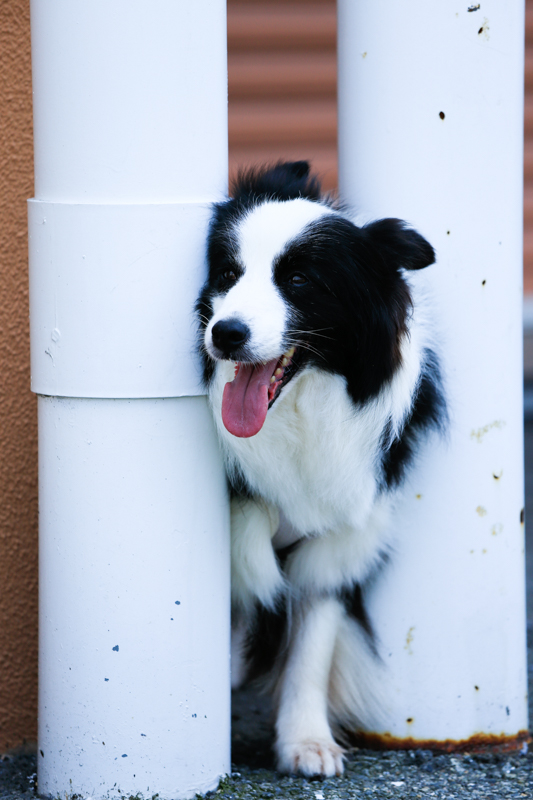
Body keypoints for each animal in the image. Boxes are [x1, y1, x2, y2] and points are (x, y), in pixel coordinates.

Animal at [196, 161, 444, 776]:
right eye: (228, 272)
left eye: (300, 280)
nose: (226, 334)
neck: (298, 415)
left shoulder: (337, 537)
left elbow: (313, 645)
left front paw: (306, 742)